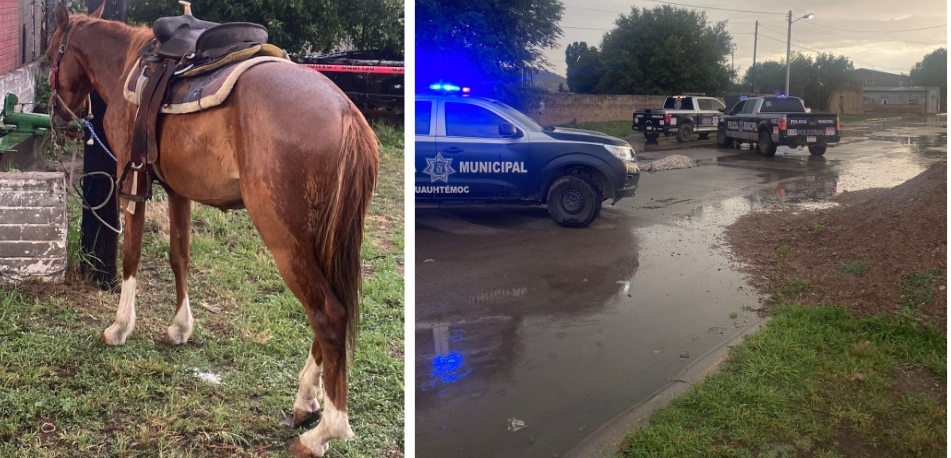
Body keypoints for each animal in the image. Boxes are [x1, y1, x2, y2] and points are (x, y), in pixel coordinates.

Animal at [44, 2, 380, 454]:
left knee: (327, 313)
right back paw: (307, 399)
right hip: (321, 239)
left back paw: (326, 430)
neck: (128, 63)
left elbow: (131, 255)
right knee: (330, 310)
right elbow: (179, 255)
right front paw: (179, 328)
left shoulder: (131, 179)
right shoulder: (178, 189)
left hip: (286, 239)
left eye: (52, 54)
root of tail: (346, 115)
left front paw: (119, 328)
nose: (61, 118)